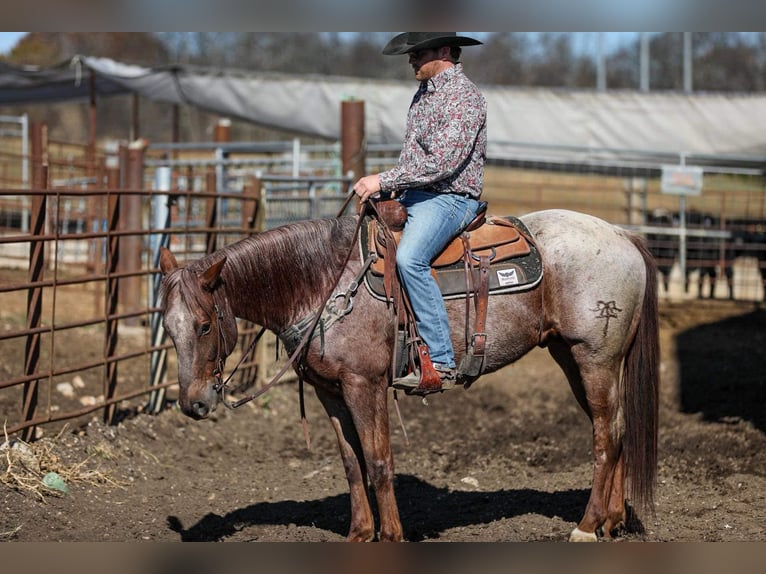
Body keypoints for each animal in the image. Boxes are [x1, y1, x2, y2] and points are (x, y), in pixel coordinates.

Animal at [158, 208, 660, 542]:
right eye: (167, 325)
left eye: (204, 325)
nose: (194, 403)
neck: (323, 283)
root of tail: (622, 234)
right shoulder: (330, 392)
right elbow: (351, 464)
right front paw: (360, 534)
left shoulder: (365, 385)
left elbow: (379, 461)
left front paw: (390, 536)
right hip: (572, 357)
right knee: (615, 428)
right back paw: (612, 521)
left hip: (595, 357)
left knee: (605, 436)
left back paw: (586, 526)